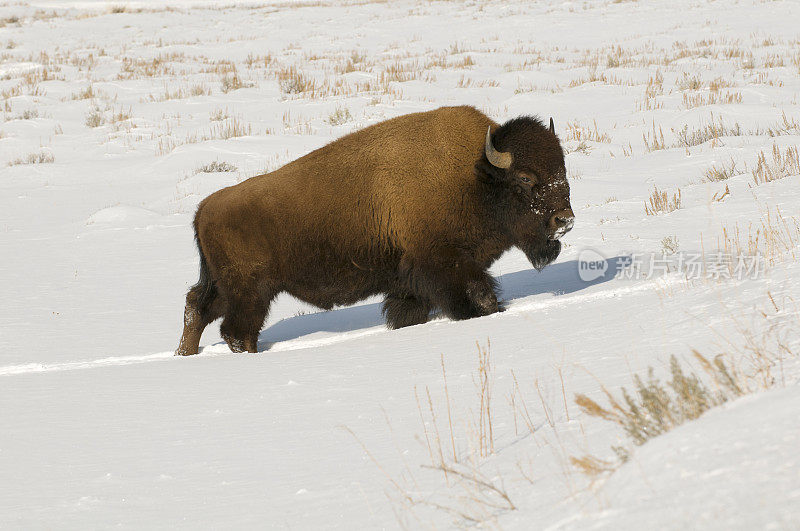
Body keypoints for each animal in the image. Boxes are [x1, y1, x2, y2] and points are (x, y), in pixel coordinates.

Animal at [177, 105, 572, 356]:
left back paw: (185, 354)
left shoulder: (410, 281)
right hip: (250, 291)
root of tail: (204, 209)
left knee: (198, 306)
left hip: (229, 287)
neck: (474, 177)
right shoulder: (446, 266)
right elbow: (482, 298)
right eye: (525, 178)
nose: (564, 220)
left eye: (562, 167)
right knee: (235, 330)